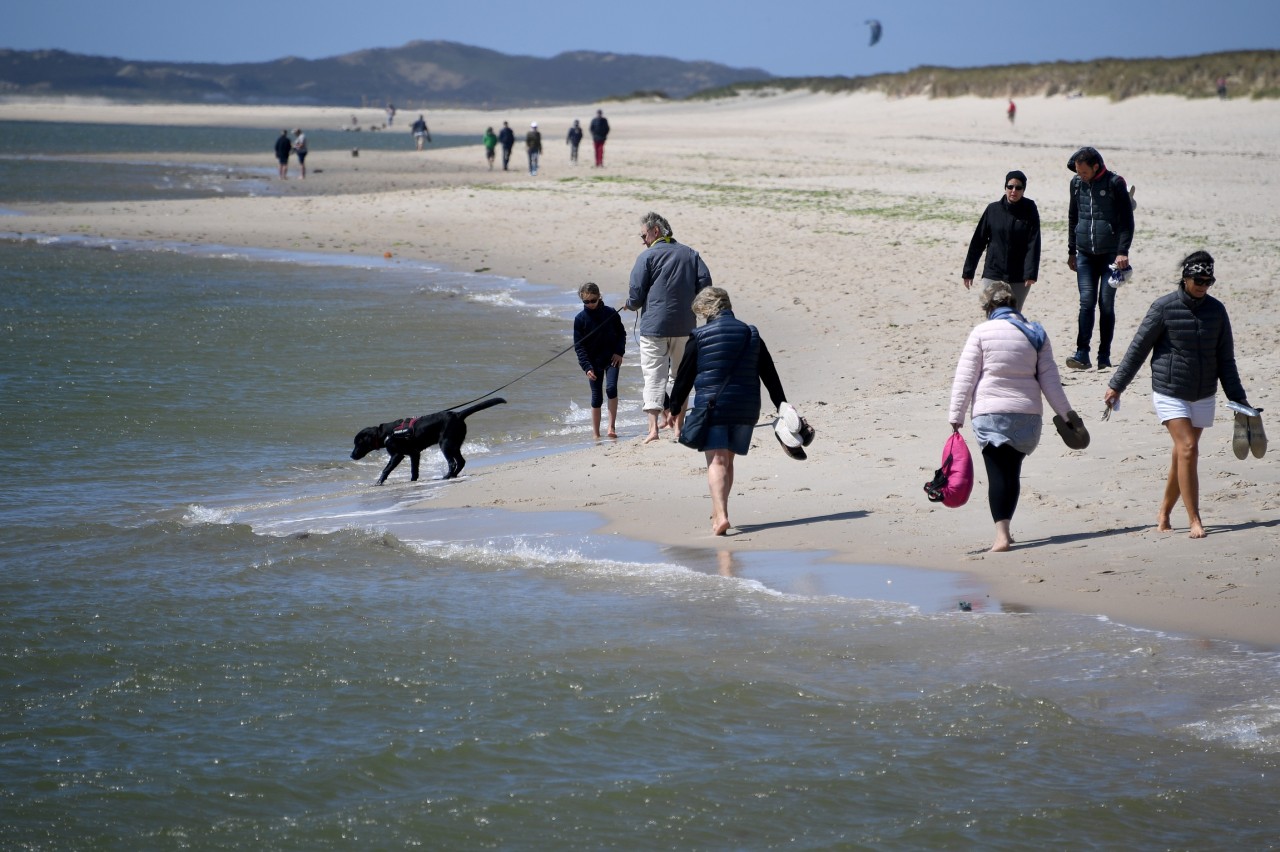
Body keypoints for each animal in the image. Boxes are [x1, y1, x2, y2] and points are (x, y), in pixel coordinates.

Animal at [355, 394, 509, 481]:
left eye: (357, 443)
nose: (351, 455)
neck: (385, 434)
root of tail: (458, 414)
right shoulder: (414, 454)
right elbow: (414, 470)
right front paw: (413, 481)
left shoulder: (397, 455)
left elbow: (386, 469)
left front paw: (379, 482)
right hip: (454, 444)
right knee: (461, 461)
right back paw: (453, 475)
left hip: (445, 444)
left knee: (452, 462)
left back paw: (447, 476)